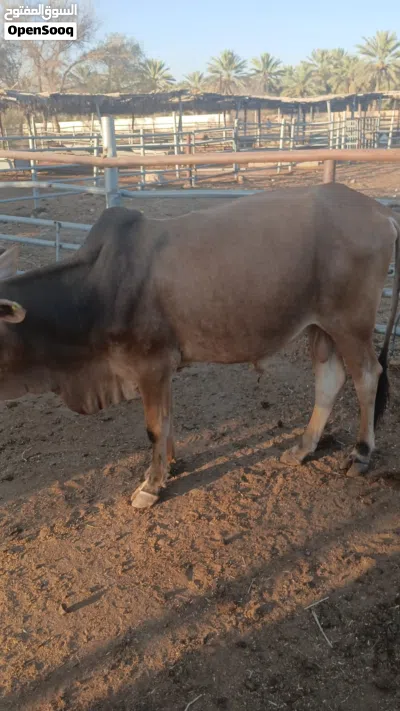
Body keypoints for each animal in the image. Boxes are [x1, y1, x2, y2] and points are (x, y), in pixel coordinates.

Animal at [0, 182, 398, 510]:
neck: (94, 292)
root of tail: (380, 211)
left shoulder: (150, 364)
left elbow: (154, 427)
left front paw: (150, 486)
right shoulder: (160, 369)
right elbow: (167, 420)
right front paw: (170, 466)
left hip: (350, 324)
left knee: (367, 376)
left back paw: (361, 454)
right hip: (320, 326)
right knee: (329, 379)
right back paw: (302, 447)